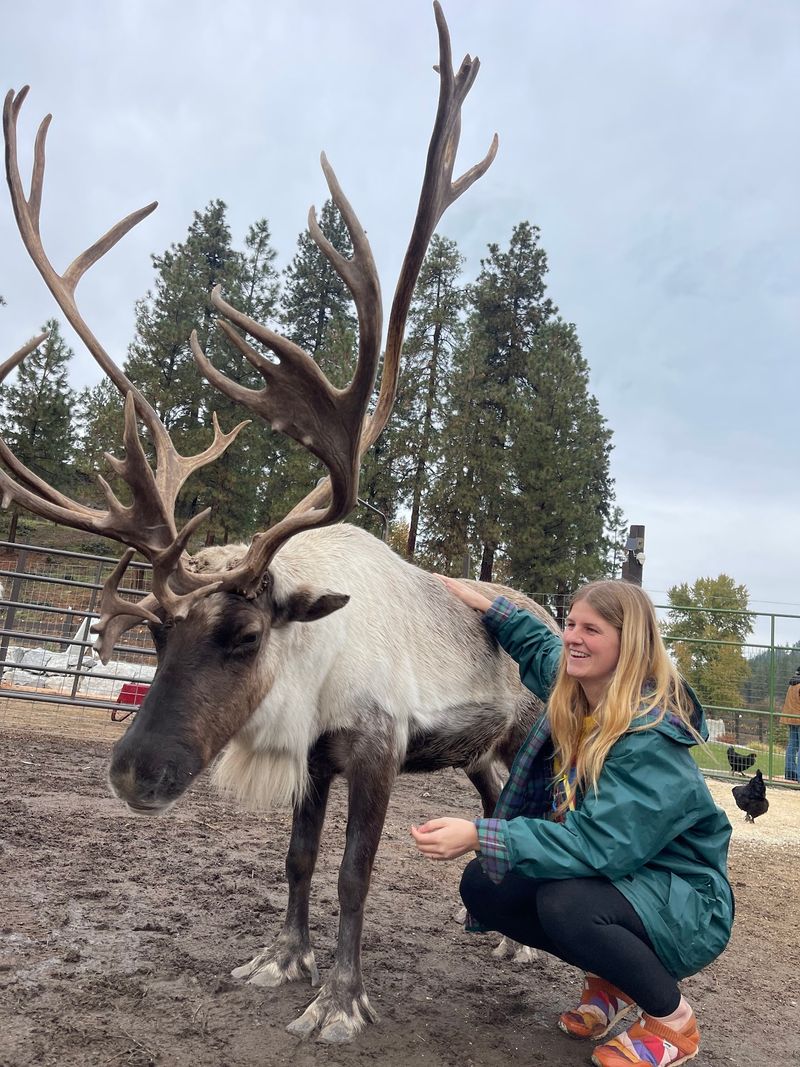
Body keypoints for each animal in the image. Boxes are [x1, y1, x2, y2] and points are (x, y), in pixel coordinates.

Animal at [1, 4, 558, 1044]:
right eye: (157, 632)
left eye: (246, 633)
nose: (132, 772)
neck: (314, 657)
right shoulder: (317, 759)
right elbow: (297, 861)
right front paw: (280, 959)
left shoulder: (376, 749)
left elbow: (350, 875)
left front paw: (340, 1000)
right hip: (479, 753)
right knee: (496, 803)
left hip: (528, 737)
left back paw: (517, 945)